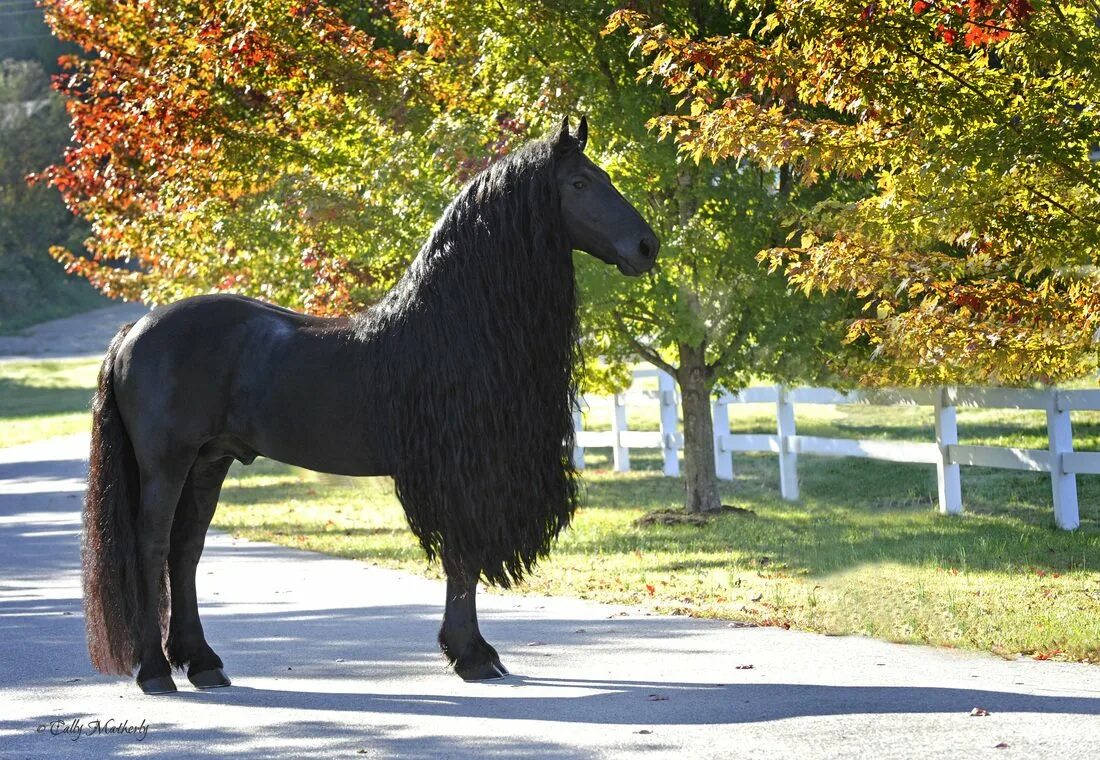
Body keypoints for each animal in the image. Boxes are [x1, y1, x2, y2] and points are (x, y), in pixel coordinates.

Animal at [83, 116, 660, 690]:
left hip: (210, 461)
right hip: (167, 463)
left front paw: (470, 651)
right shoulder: (460, 472)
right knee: (151, 546)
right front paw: (472, 655)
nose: (646, 245)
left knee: (186, 550)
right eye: (580, 182)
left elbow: (463, 561)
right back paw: (155, 670)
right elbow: (464, 557)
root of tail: (135, 329)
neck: (455, 324)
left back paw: (203, 662)